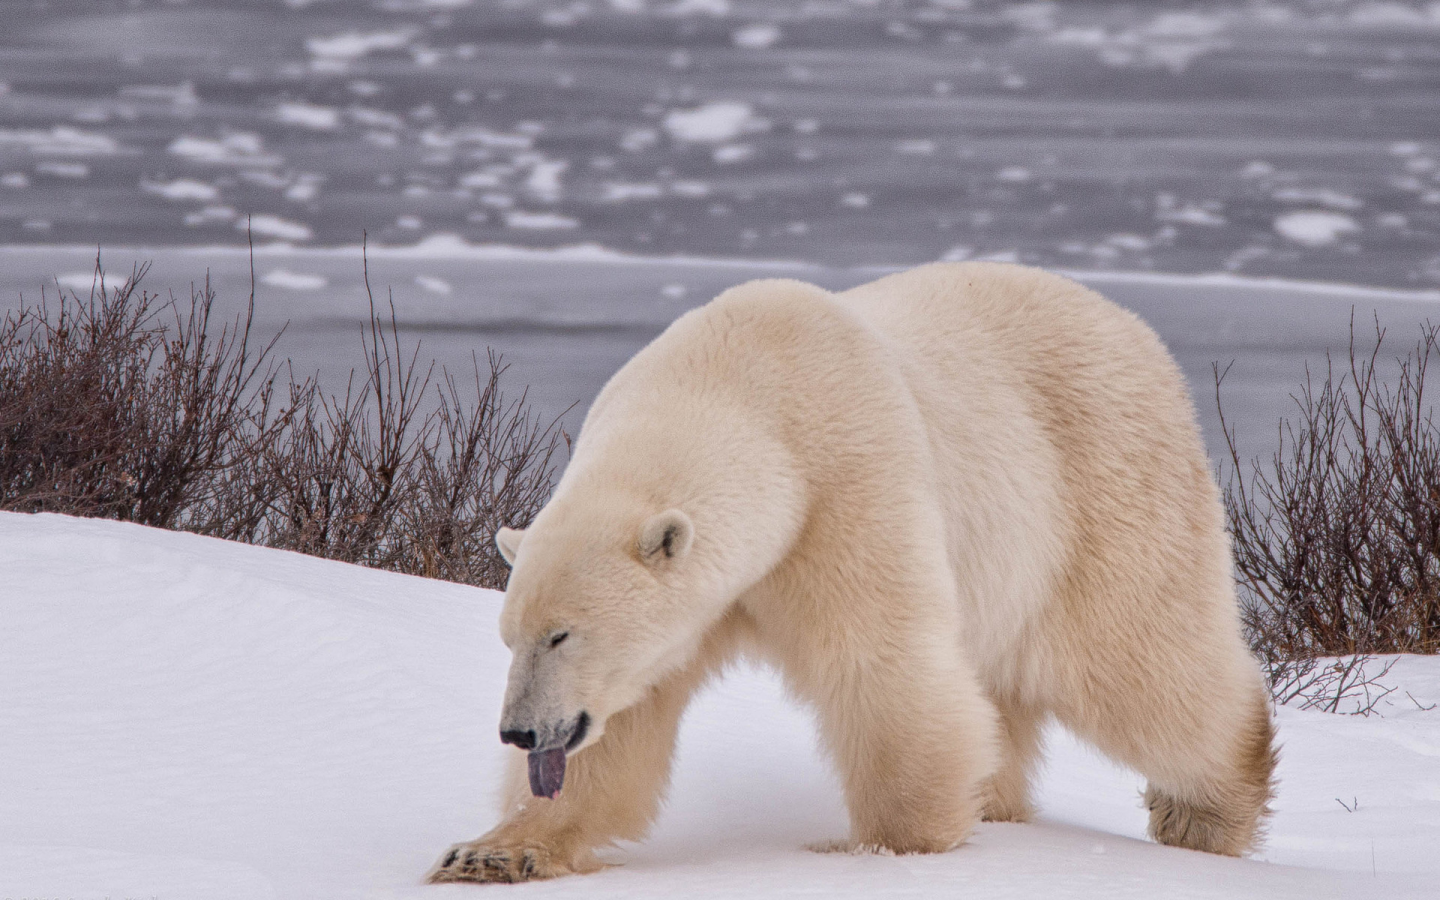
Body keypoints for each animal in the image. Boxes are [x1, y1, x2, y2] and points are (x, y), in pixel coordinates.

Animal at [423, 262, 1272, 887]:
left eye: (562, 634)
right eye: (510, 636)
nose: (519, 730)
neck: (741, 386)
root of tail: (1132, 326)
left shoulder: (843, 485)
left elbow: (878, 663)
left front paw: (885, 846)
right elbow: (624, 722)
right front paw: (490, 852)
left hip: (1101, 488)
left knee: (1136, 660)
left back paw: (1208, 811)